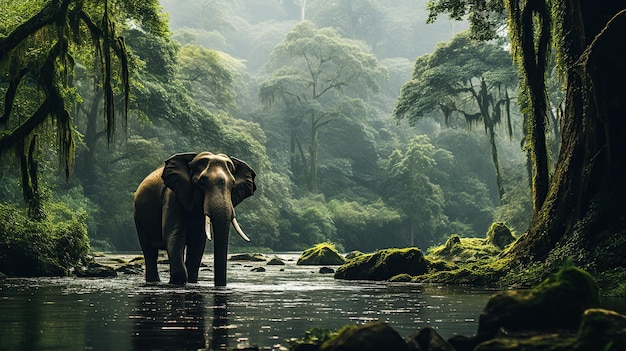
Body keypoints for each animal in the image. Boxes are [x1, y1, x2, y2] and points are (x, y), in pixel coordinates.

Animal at [133, 153, 255, 288]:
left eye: (233, 184)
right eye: (202, 182)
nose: (220, 285)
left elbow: (198, 242)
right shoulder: (172, 196)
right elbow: (174, 235)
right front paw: (177, 282)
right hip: (138, 217)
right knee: (149, 251)